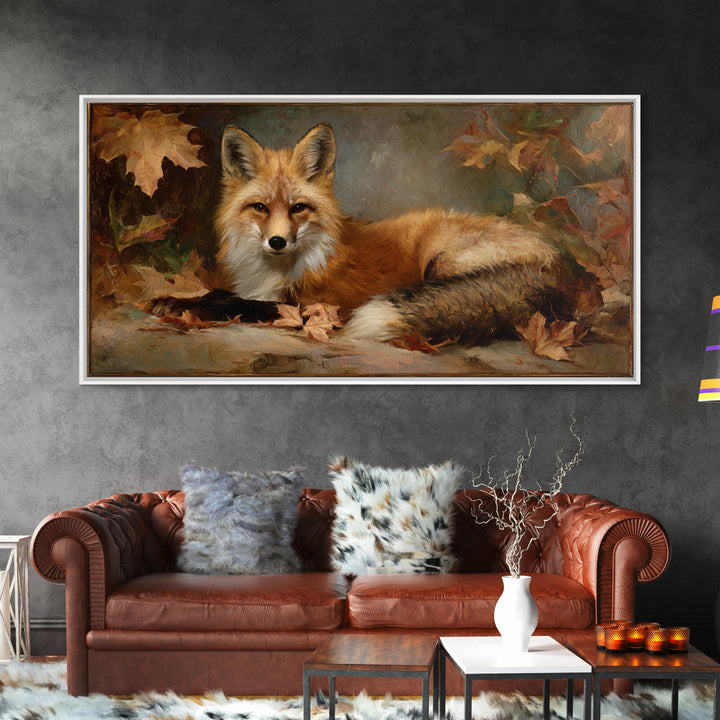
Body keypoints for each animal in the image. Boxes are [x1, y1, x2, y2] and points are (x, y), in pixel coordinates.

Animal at [150, 122, 602, 345]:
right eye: (260, 207)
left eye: (298, 208)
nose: (277, 241)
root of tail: (559, 268)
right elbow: (220, 292)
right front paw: (175, 299)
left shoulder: (321, 305)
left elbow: (230, 300)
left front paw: (181, 304)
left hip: (441, 257)